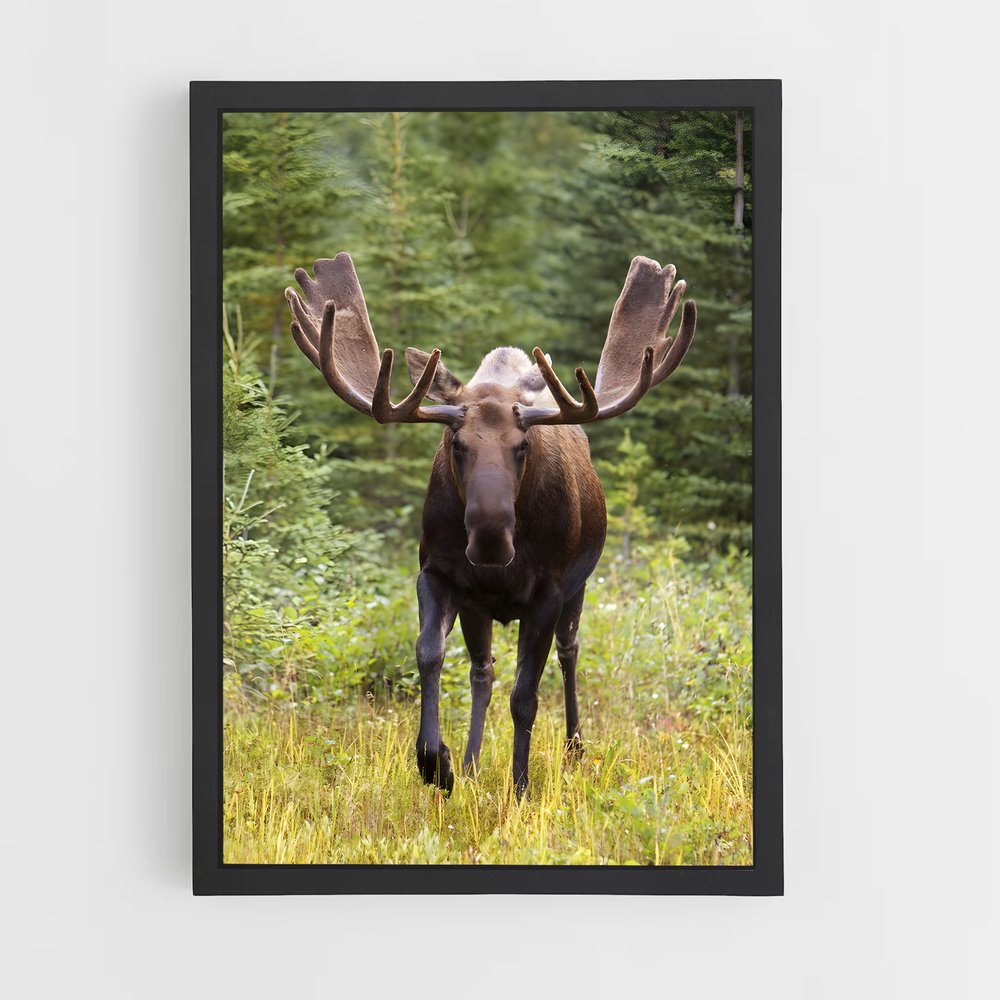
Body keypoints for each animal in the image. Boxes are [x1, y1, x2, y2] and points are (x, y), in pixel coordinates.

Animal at [285, 252, 696, 797]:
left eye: (522, 445)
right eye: (456, 443)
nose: (490, 539)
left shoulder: (548, 591)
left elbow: (526, 697)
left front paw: (520, 788)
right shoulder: (437, 575)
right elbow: (429, 656)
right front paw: (436, 762)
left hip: (579, 587)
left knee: (569, 653)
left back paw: (573, 748)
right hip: (478, 607)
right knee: (483, 671)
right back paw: (473, 761)